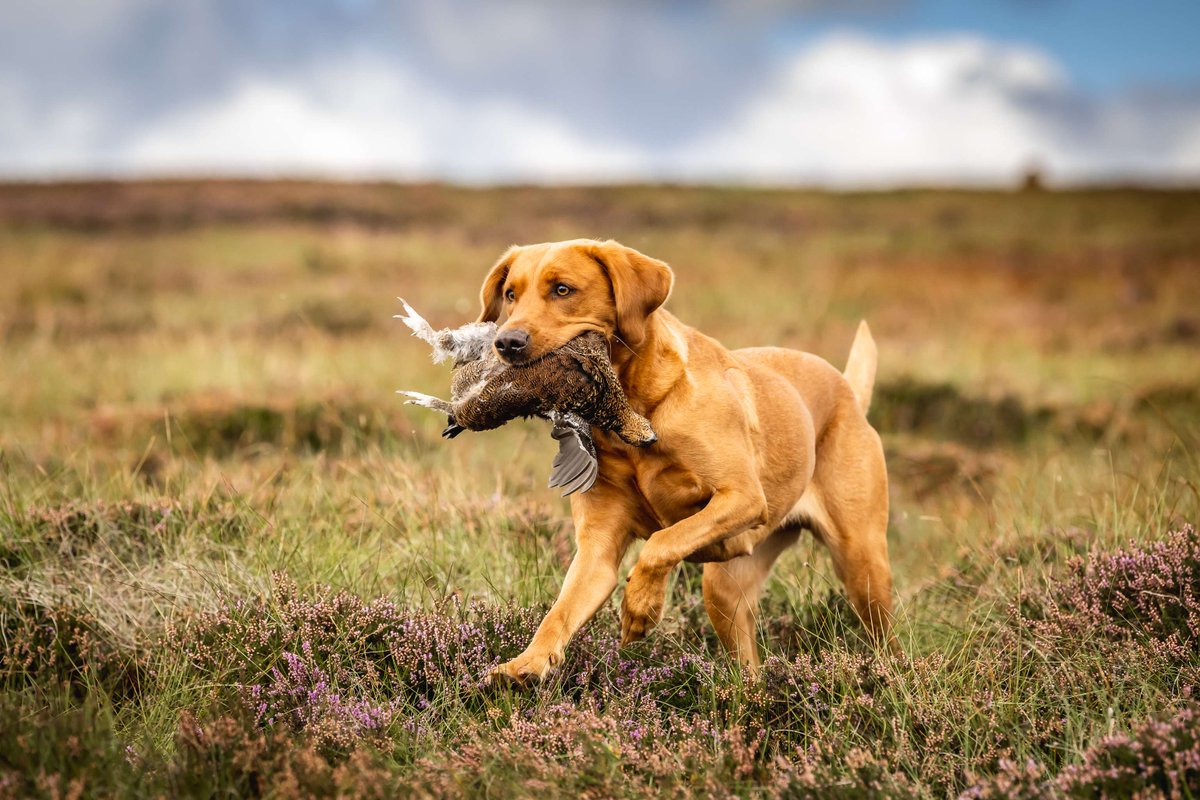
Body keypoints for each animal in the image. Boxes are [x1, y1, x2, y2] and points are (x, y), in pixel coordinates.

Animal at [475, 237, 892, 681]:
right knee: (748, 669)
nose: (507, 343)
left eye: (562, 290)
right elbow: (560, 612)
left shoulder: (742, 497)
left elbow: (663, 540)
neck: (632, 410)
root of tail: (848, 390)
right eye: (510, 294)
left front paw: (640, 607)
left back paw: (886, 675)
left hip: (863, 567)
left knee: (888, 639)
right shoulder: (597, 549)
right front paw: (527, 663)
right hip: (725, 592)